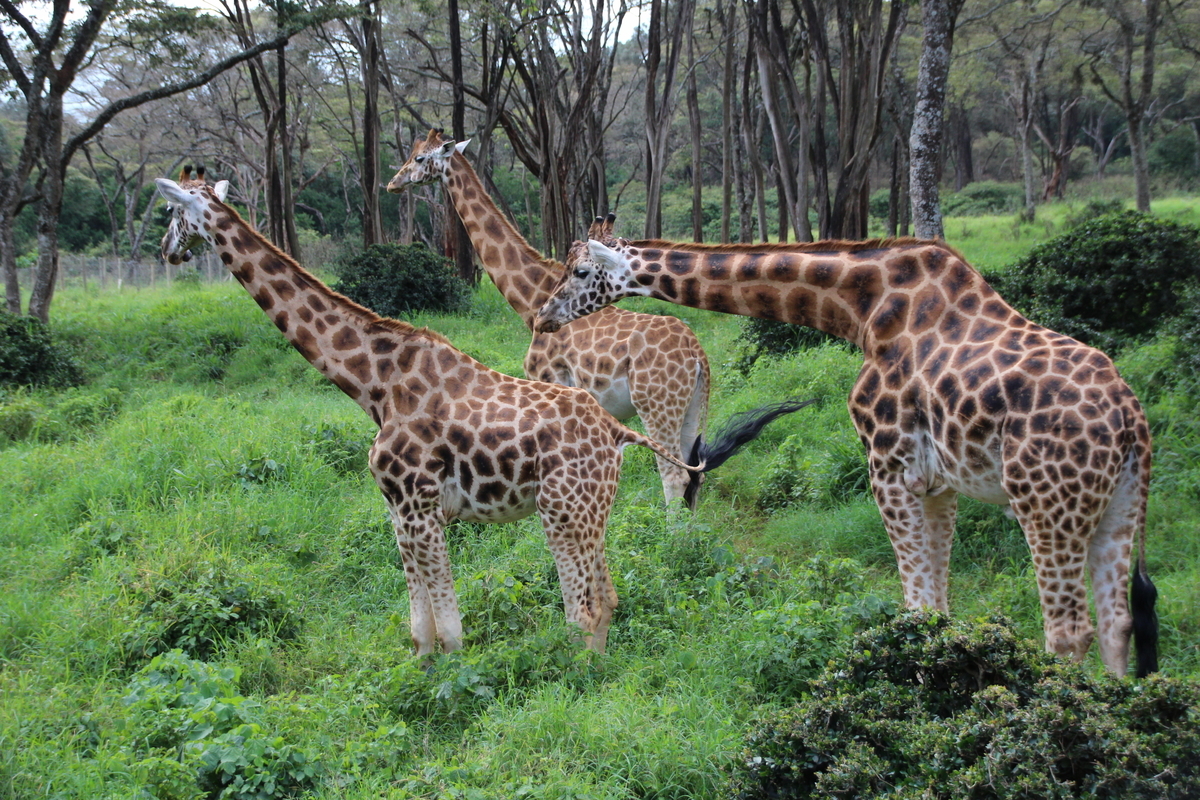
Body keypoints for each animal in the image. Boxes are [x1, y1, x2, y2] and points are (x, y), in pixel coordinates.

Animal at [150, 178, 806, 662]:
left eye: (174, 214)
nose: (166, 252)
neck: (372, 383)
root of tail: (616, 433)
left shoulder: (418, 504)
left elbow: (450, 628)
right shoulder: (399, 508)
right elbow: (419, 626)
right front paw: (420, 675)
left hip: (563, 508)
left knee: (584, 608)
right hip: (595, 505)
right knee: (610, 596)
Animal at [384, 130, 710, 506]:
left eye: (420, 158)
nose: (393, 183)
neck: (532, 300)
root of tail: (698, 355)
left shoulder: (549, 383)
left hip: (656, 404)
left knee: (673, 475)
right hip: (692, 408)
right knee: (696, 474)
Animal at [532, 230, 1152, 676]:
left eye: (581, 271)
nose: (544, 316)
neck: (862, 309)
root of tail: (1129, 422)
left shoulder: (888, 464)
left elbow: (917, 605)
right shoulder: (939, 482)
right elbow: (939, 606)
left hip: (1047, 505)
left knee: (1068, 630)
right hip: (1119, 506)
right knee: (1117, 623)